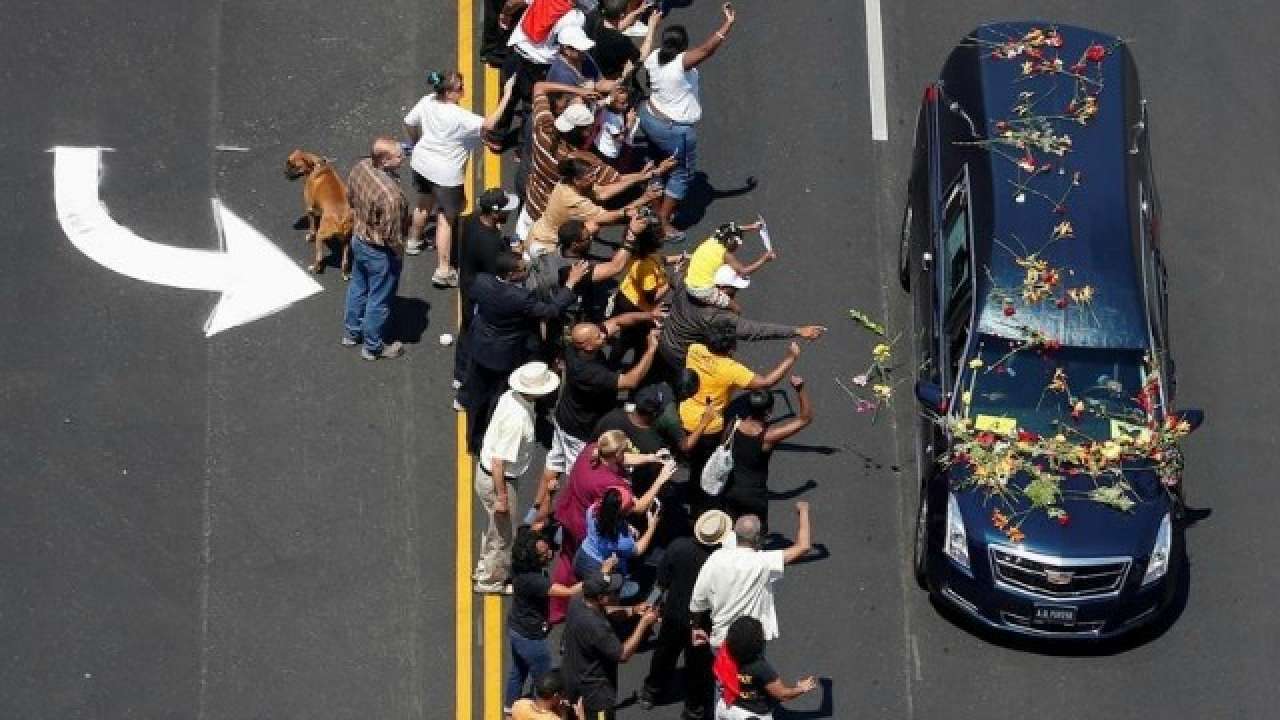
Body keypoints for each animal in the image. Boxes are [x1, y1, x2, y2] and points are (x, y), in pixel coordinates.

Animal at [284, 148, 353, 278]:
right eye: (287, 163)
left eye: (295, 166)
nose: (285, 172)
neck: (316, 166)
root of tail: (341, 219)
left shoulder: (310, 209)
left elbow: (312, 227)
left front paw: (310, 235)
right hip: (346, 241)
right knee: (345, 261)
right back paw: (345, 274)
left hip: (321, 237)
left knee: (319, 258)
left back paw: (314, 268)